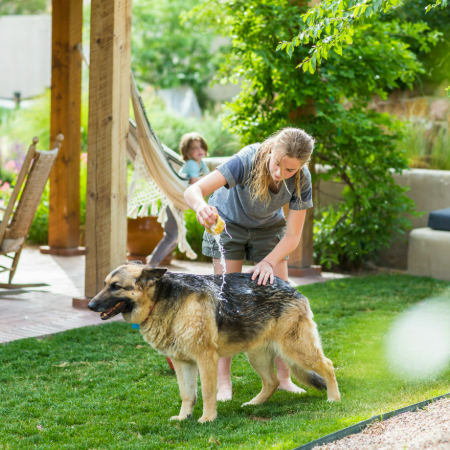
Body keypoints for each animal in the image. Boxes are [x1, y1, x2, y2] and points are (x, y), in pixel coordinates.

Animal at [89, 262, 342, 424]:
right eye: (104, 284)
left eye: (115, 287)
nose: (90, 305)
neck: (161, 300)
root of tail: (293, 288)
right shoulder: (182, 363)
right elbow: (187, 394)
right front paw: (184, 418)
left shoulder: (205, 359)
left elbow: (208, 392)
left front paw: (207, 419)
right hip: (257, 356)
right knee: (272, 381)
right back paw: (255, 404)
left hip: (296, 350)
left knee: (327, 366)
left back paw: (334, 399)